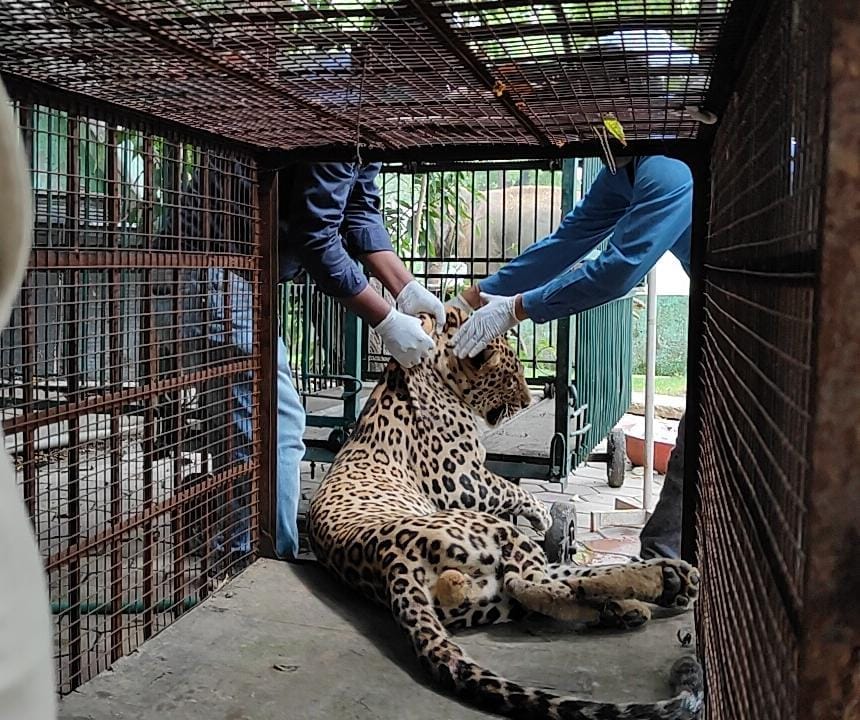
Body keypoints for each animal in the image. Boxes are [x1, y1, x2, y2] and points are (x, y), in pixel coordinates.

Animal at [308, 306, 703, 720]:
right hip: (494, 533)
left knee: (552, 584)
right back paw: (658, 585)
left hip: (488, 594)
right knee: (533, 583)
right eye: (511, 376)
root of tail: (391, 563)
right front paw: (543, 515)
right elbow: (510, 487)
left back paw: (645, 596)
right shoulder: (461, 478)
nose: (529, 400)